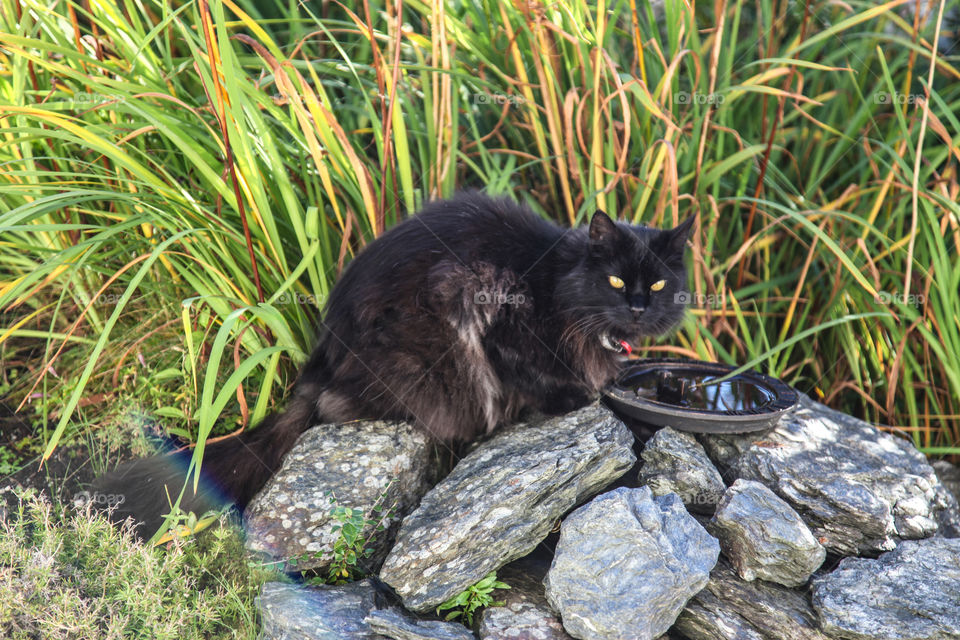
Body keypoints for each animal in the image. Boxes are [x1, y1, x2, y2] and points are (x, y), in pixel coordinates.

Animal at [94, 192, 692, 536]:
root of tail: (319, 362)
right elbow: (533, 372)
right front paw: (569, 396)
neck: (558, 282)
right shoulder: (496, 310)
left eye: (659, 285)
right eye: (615, 280)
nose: (638, 308)